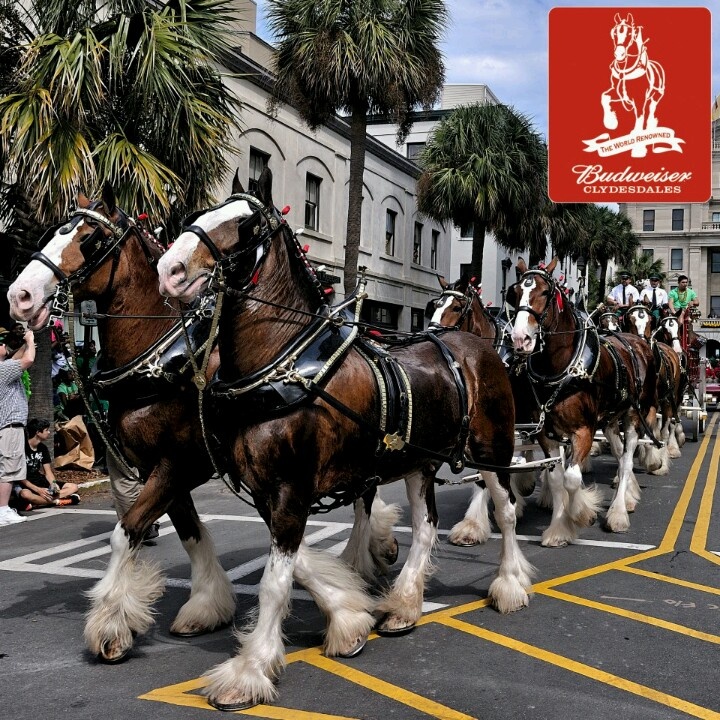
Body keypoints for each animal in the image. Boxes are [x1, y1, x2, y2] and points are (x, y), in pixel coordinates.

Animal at [156, 167, 528, 708]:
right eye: (200, 213)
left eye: (245, 226)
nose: (169, 269)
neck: (286, 362)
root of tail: (478, 345)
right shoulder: (270, 492)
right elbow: (299, 566)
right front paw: (349, 620)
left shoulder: (290, 489)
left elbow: (275, 582)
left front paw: (250, 671)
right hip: (416, 461)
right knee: (425, 526)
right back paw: (404, 605)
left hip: (491, 448)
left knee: (505, 509)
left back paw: (511, 584)